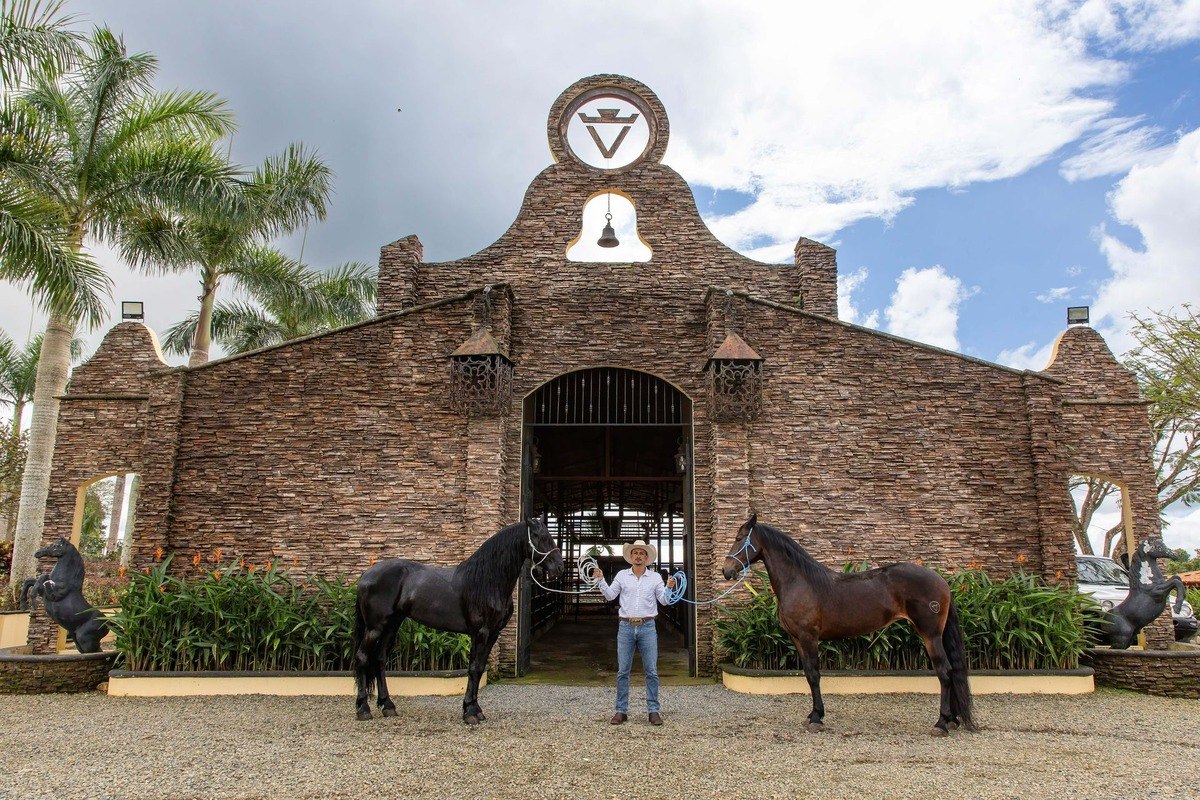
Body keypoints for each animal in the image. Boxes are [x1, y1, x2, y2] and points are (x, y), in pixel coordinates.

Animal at [352, 520, 564, 724]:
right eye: (538, 536)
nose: (559, 567)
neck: (487, 580)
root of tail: (366, 574)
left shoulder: (492, 633)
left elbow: (479, 668)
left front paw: (475, 709)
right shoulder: (480, 632)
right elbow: (475, 668)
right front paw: (470, 712)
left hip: (391, 626)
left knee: (380, 660)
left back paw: (388, 706)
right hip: (375, 627)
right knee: (362, 657)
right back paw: (363, 709)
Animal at [720, 515, 974, 734]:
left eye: (739, 538)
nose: (726, 570)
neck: (800, 581)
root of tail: (941, 581)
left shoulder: (809, 637)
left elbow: (814, 674)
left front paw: (816, 718)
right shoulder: (797, 639)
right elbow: (807, 674)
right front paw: (814, 714)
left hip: (930, 635)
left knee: (944, 672)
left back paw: (941, 723)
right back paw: (952, 720)